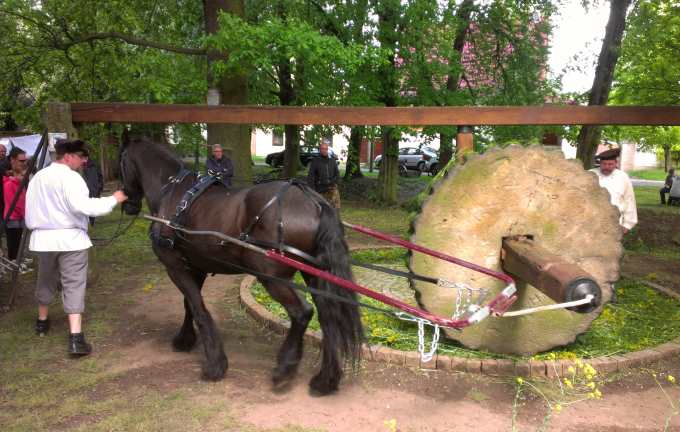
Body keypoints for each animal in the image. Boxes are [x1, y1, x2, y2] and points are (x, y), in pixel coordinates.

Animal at [118, 134, 362, 394]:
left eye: (121, 162)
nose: (128, 204)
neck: (173, 193)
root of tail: (314, 202)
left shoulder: (174, 266)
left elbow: (198, 308)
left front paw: (214, 364)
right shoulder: (196, 266)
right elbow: (189, 305)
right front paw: (186, 339)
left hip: (272, 276)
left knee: (302, 313)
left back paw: (285, 369)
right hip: (314, 274)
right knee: (328, 317)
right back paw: (325, 379)